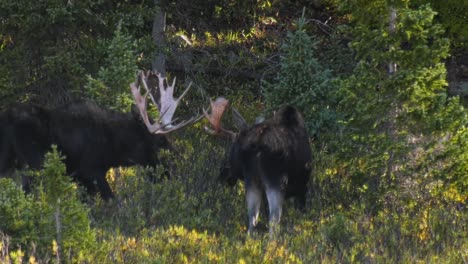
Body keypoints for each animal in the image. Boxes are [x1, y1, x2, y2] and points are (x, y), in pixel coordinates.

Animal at [0, 71, 199, 199]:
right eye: (159, 140)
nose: (173, 168)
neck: (115, 149)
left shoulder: (81, 177)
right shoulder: (90, 171)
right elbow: (112, 200)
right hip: (33, 164)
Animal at [204, 97, 310, 237]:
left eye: (231, 150)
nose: (222, 173)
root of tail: (258, 144)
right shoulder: (302, 187)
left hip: (253, 181)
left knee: (252, 219)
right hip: (275, 182)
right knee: (273, 220)